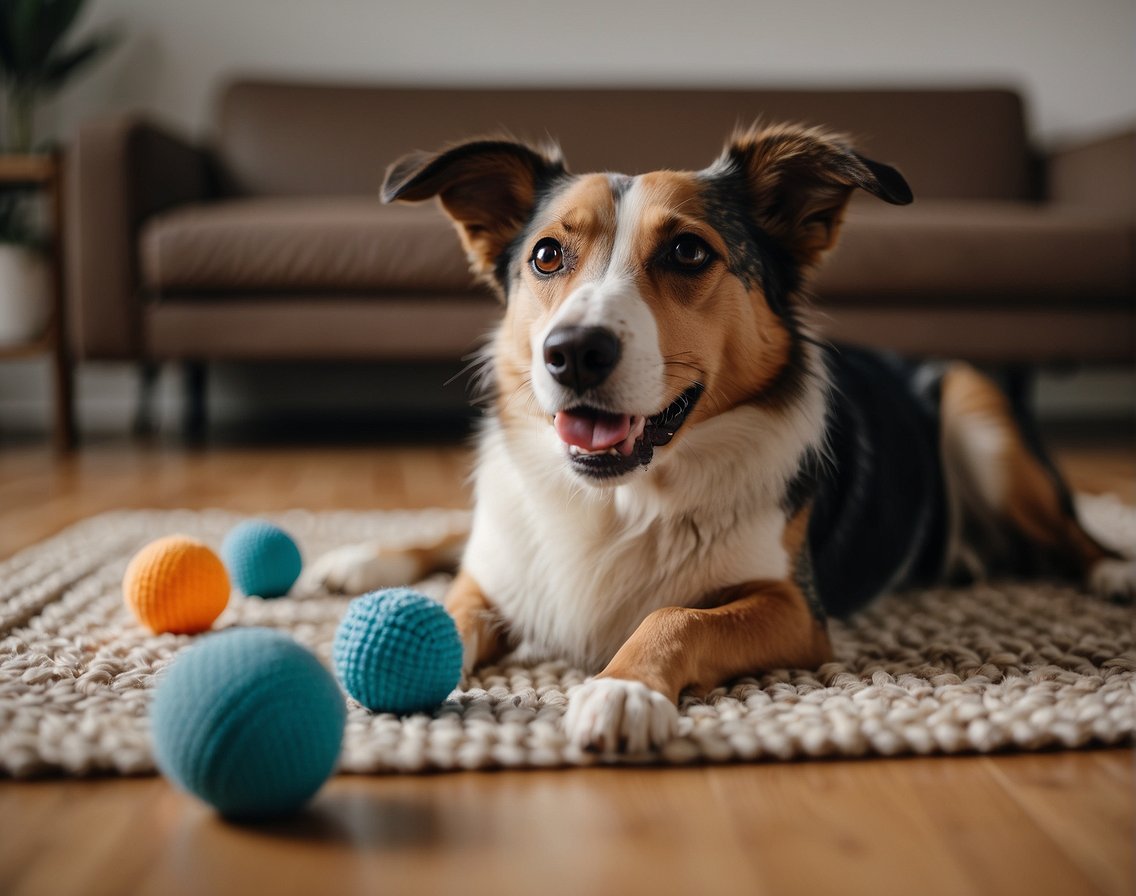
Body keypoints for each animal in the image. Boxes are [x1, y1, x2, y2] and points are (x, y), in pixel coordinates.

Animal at [311, 122, 1136, 749]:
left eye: (687, 251)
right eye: (547, 254)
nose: (572, 352)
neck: (623, 497)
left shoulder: (796, 609)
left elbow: (675, 615)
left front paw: (623, 688)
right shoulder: (497, 575)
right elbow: (451, 606)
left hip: (974, 405)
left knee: (1070, 531)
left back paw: (1113, 571)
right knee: (454, 535)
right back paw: (358, 560)